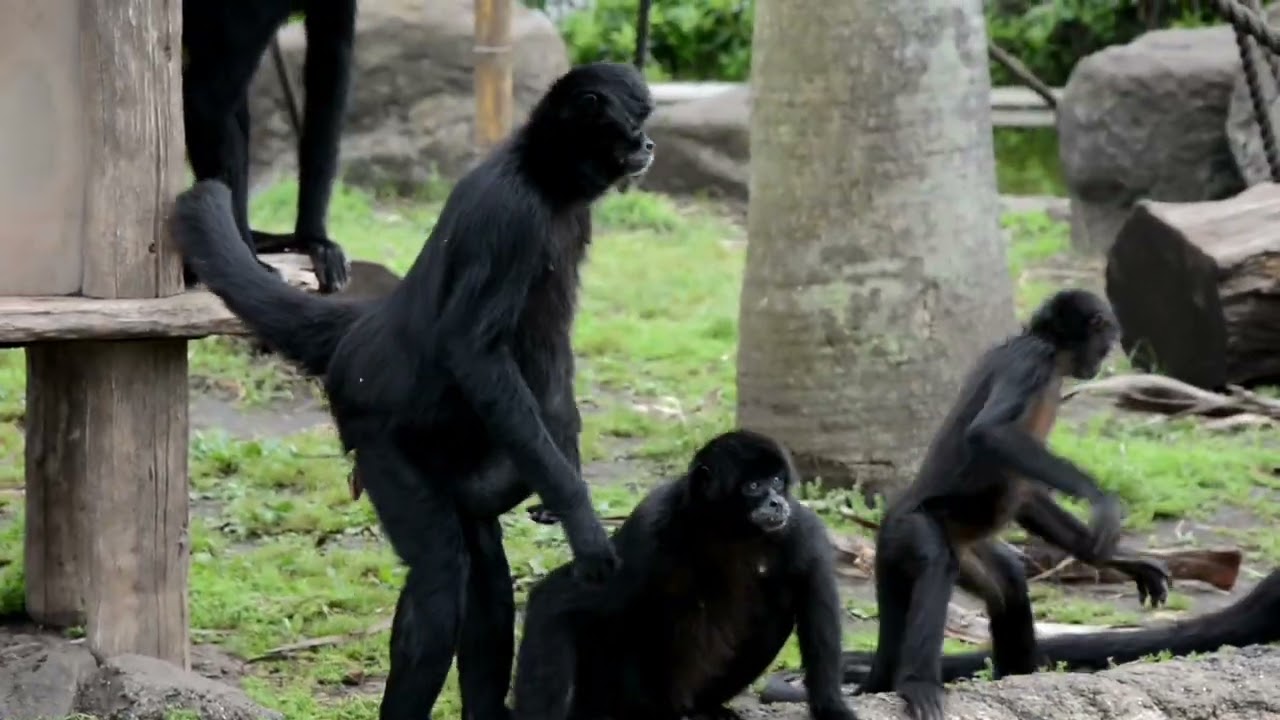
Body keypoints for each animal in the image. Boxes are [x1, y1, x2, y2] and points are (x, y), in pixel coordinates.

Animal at [171, 61, 656, 720]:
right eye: (635, 122)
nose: (648, 144)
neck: (541, 176)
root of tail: (366, 330)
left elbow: (552, 358)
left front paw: (565, 488)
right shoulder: (511, 217)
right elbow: (473, 350)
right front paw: (584, 524)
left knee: (482, 562)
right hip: (378, 437)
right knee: (440, 578)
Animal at [510, 429, 858, 720]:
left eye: (775, 480)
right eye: (753, 486)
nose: (776, 501)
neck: (727, 531)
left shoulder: (797, 527)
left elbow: (816, 602)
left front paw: (832, 709)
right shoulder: (649, 524)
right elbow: (554, 599)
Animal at [755, 289, 1171, 720]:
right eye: (1106, 338)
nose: (1107, 356)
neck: (1046, 351)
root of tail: (889, 522)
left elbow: (1024, 494)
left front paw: (1118, 558)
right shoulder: (1031, 362)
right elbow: (989, 433)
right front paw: (1099, 498)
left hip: (967, 547)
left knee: (1008, 579)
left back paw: (1017, 675)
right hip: (915, 528)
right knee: (937, 564)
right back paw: (917, 684)